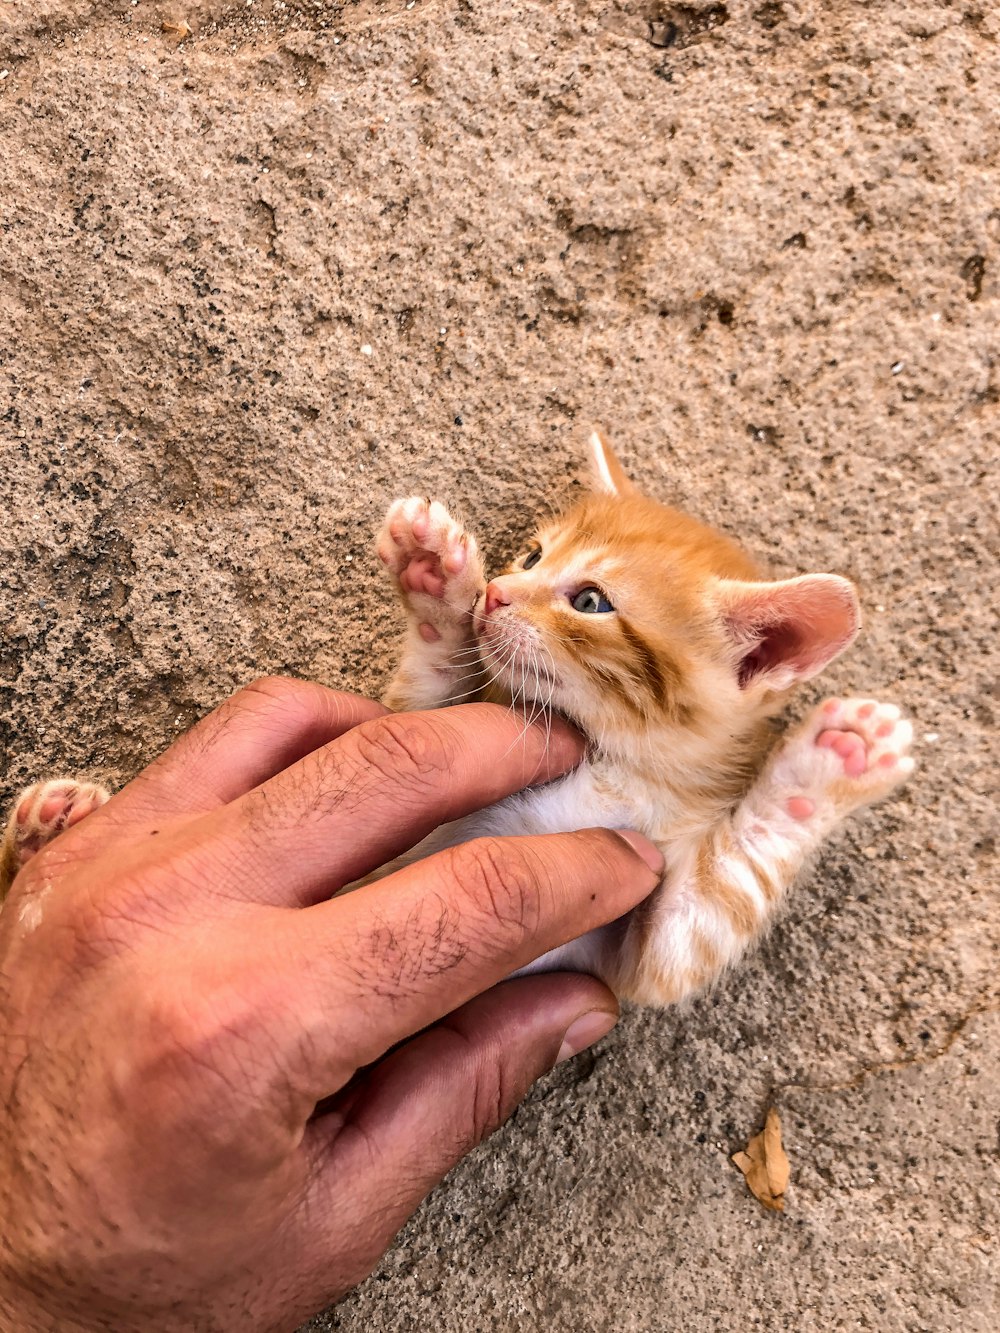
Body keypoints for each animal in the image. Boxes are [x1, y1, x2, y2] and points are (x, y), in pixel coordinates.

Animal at [0, 437, 917, 1007]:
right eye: (532, 555)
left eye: (591, 600)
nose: (497, 594)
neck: (614, 761)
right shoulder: (423, 719)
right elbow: (431, 686)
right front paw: (436, 577)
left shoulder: (640, 952)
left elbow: (730, 881)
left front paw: (833, 762)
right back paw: (53, 825)